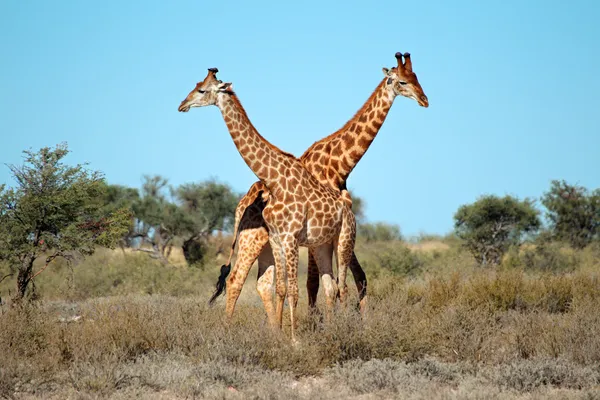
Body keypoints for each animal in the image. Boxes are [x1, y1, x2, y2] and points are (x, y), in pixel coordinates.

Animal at [177, 69, 356, 340]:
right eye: (196, 85)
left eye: (201, 90)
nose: (182, 105)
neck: (274, 181)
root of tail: (348, 205)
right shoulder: (276, 238)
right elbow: (281, 288)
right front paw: (280, 336)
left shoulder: (291, 237)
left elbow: (293, 290)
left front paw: (295, 341)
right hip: (321, 245)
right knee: (330, 286)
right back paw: (332, 331)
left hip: (344, 238)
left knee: (343, 285)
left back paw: (346, 332)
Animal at [209, 52, 428, 316]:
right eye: (402, 82)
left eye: (416, 77)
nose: (425, 100)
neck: (339, 165)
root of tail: (240, 205)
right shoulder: (319, 234)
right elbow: (316, 283)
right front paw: (319, 321)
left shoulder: (334, 229)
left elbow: (357, 277)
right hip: (252, 240)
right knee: (236, 280)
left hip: (269, 246)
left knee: (263, 283)